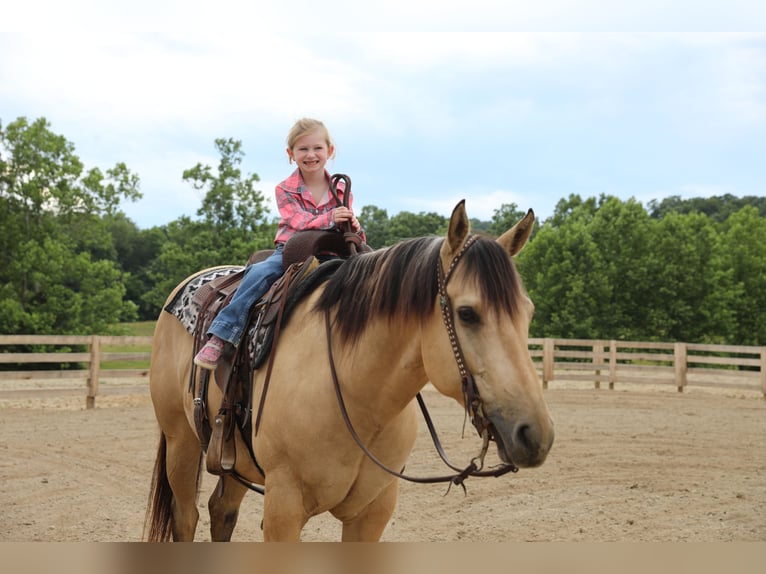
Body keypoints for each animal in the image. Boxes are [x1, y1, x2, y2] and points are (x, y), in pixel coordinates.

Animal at [144, 200, 554, 542]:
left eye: (528, 312)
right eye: (468, 313)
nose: (535, 434)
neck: (355, 393)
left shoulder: (372, 512)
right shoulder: (283, 510)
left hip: (233, 459)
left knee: (221, 512)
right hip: (181, 442)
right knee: (187, 518)